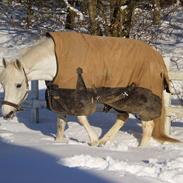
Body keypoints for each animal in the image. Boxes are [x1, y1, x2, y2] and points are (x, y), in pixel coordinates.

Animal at [0, 34, 179, 146]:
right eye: (2, 84)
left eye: (18, 84)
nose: (6, 114)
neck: (55, 61)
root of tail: (159, 59)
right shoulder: (61, 95)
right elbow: (60, 123)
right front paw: (59, 144)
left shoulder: (79, 95)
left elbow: (81, 118)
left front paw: (93, 141)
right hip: (121, 97)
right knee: (123, 117)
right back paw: (104, 142)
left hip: (143, 97)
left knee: (147, 125)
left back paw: (138, 151)